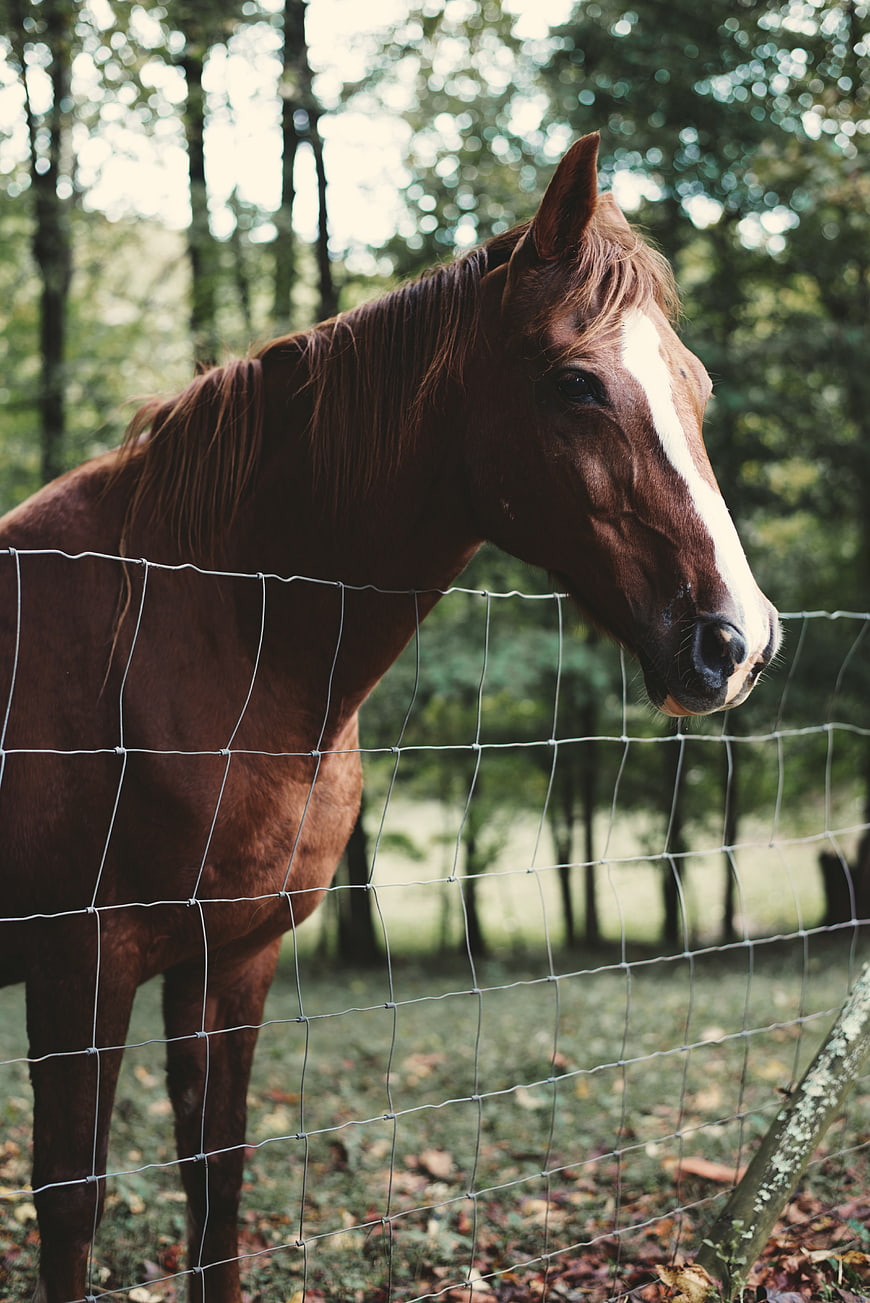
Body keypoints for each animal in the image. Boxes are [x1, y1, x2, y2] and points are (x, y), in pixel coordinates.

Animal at [0, 133, 779, 1303]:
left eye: (695, 384)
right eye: (577, 382)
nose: (738, 639)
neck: (196, 632)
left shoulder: (229, 960)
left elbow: (217, 1182)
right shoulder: (75, 972)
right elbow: (70, 1207)